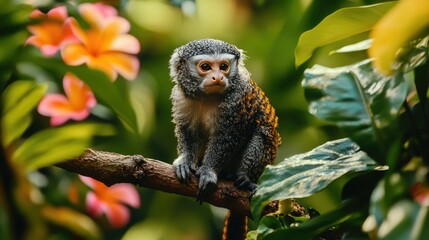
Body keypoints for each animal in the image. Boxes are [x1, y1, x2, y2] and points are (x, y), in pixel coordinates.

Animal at [167, 38, 280, 239]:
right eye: (205, 67)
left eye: (224, 67)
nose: (218, 77)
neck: (207, 98)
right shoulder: (181, 98)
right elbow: (187, 131)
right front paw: (185, 162)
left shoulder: (237, 100)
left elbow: (230, 136)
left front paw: (209, 172)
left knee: (261, 135)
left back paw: (245, 178)